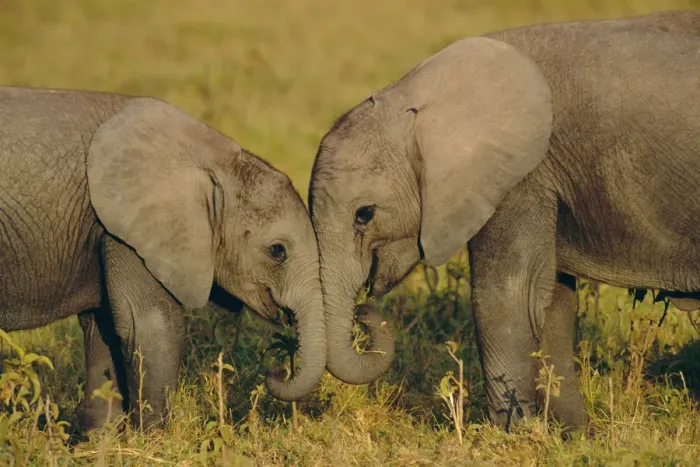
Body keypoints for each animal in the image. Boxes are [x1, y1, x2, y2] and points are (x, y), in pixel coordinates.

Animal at [0, 86, 325, 432]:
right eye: (278, 251)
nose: (275, 372)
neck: (212, 162)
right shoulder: (129, 231)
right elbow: (150, 326)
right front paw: (151, 439)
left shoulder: (105, 229)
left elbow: (104, 327)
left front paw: (100, 439)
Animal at [307, 9, 700, 433]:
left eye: (364, 215)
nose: (364, 312)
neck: (425, 95)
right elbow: (550, 301)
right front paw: (572, 436)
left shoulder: (520, 173)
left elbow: (508, 296)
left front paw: (514, 435)